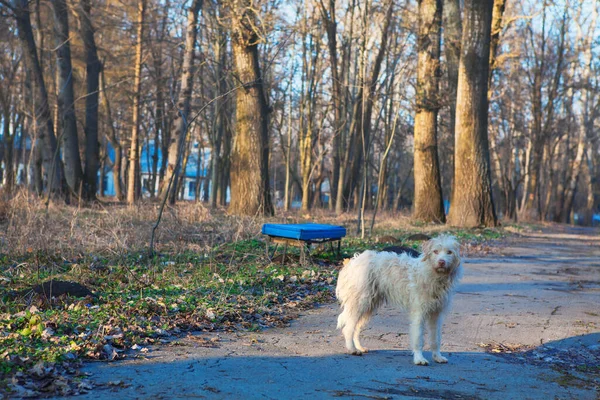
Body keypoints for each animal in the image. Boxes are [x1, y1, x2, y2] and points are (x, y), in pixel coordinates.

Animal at [336, 234, 462, 366]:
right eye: (435, 251)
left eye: (449, 252)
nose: (441, 262)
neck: (432, 274)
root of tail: (353, 261)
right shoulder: (419, 313)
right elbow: (418, 338)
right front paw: (419, 358)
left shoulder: (436, 314)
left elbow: (435, 338)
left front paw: (437, 356)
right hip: (360, 303)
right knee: (348, 327)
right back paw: (352, 349)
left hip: (369, 305)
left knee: (356, 327)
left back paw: (359, 347)